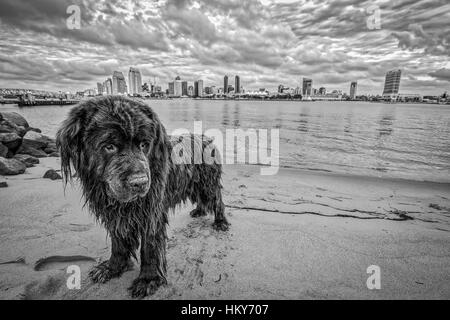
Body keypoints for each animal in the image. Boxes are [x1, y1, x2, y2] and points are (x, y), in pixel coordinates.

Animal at [56, 95, 230, 298]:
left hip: (208, 183)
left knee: (217, 201)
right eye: (109, 146)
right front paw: (112, 268)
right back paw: (199, 211)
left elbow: (150, 248)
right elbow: (118, 243)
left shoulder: (151, 213)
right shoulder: (114, 215)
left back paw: (220, 222)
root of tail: (207, 138)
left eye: (144, 144)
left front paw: (148, 280)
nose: (139, 182)